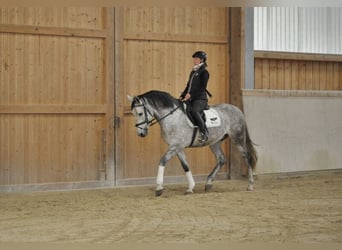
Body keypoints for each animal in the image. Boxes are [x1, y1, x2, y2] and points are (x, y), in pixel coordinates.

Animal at [128, 89, 256, 196]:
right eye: (133, 114)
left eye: (140, 113)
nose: (141, 133)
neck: (172, 118)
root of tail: (237, 109)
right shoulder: (177, 147)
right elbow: (185, 166)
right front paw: (190, 187)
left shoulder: (175, 146)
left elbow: (162, 161)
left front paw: (159, 187)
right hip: (215, 142)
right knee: (221, 159)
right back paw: (208, 183)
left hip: (237, 138)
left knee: (247, 157)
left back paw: (250, 185)